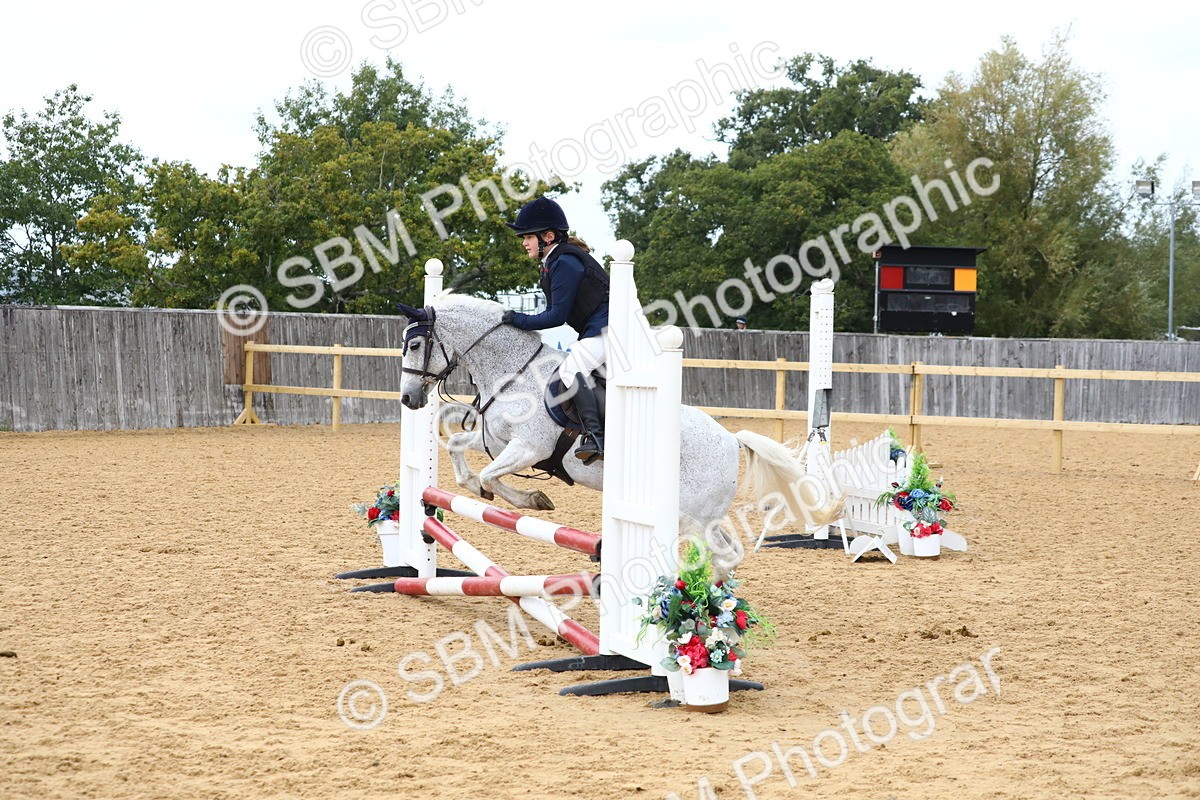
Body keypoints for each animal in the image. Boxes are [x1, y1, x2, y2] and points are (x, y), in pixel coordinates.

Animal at [397, 293, 844, 575]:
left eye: (415, 344)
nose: (408, 398)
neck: (513, 372)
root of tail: (731, 439)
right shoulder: (500, 440)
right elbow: (459, 453)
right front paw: (489, 491)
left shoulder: (528, 448)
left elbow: (492, 476)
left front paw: (531, 498)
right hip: (699, 517)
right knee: (724, 556)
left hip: (694, 516)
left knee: (721, 553)